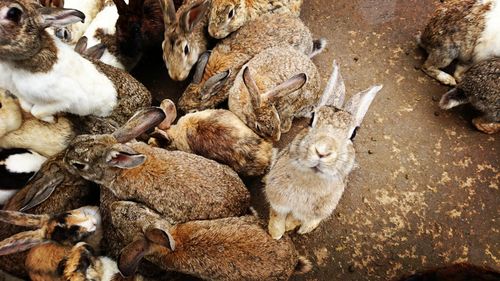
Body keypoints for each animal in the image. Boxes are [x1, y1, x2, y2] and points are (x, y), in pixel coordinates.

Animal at [266, 61, 382, 238]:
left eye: (354, 134)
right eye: (312, 119)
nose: (322, 151)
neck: (310, 179)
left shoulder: (312, 211)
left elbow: (296, 219)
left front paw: (290, 228)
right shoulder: (278, 200)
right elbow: (276, 216)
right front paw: (275, 234)